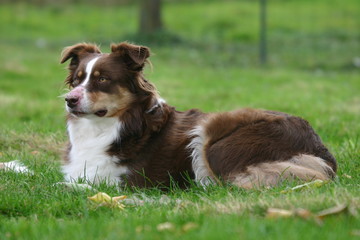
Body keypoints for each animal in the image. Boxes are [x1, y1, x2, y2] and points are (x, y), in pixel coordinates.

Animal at [59, 41, 338, 189]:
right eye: (78, 80)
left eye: (103, 79)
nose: (69, 100)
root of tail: (319, 146)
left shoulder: (132, 181)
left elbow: (76, 185)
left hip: (213, 137)